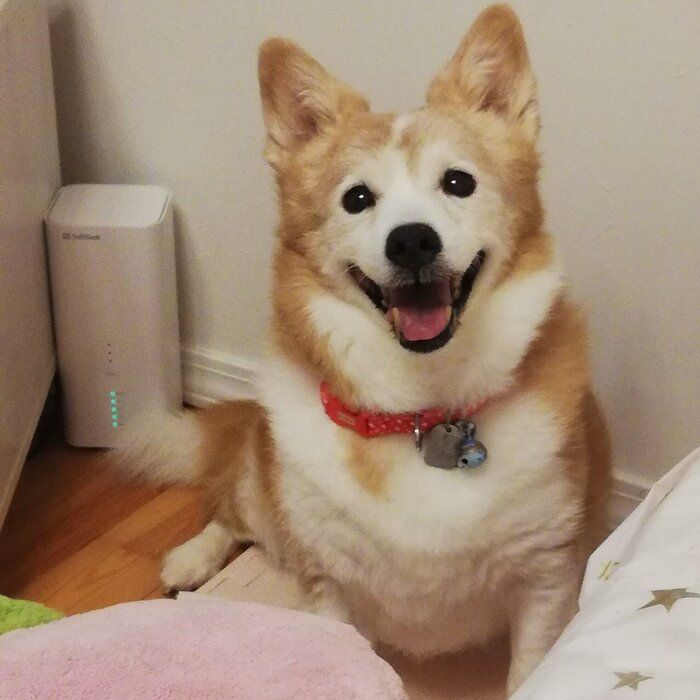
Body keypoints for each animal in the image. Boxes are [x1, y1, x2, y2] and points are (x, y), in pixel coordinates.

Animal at [119, 5, 610, 694]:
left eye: (458, 182)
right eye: (356, 198)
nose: (412, 242)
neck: (420, 412)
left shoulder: (546, 579)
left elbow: (531, 669)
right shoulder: (328, 585)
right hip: (262, 493)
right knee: (233, 510)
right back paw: (192, 559)